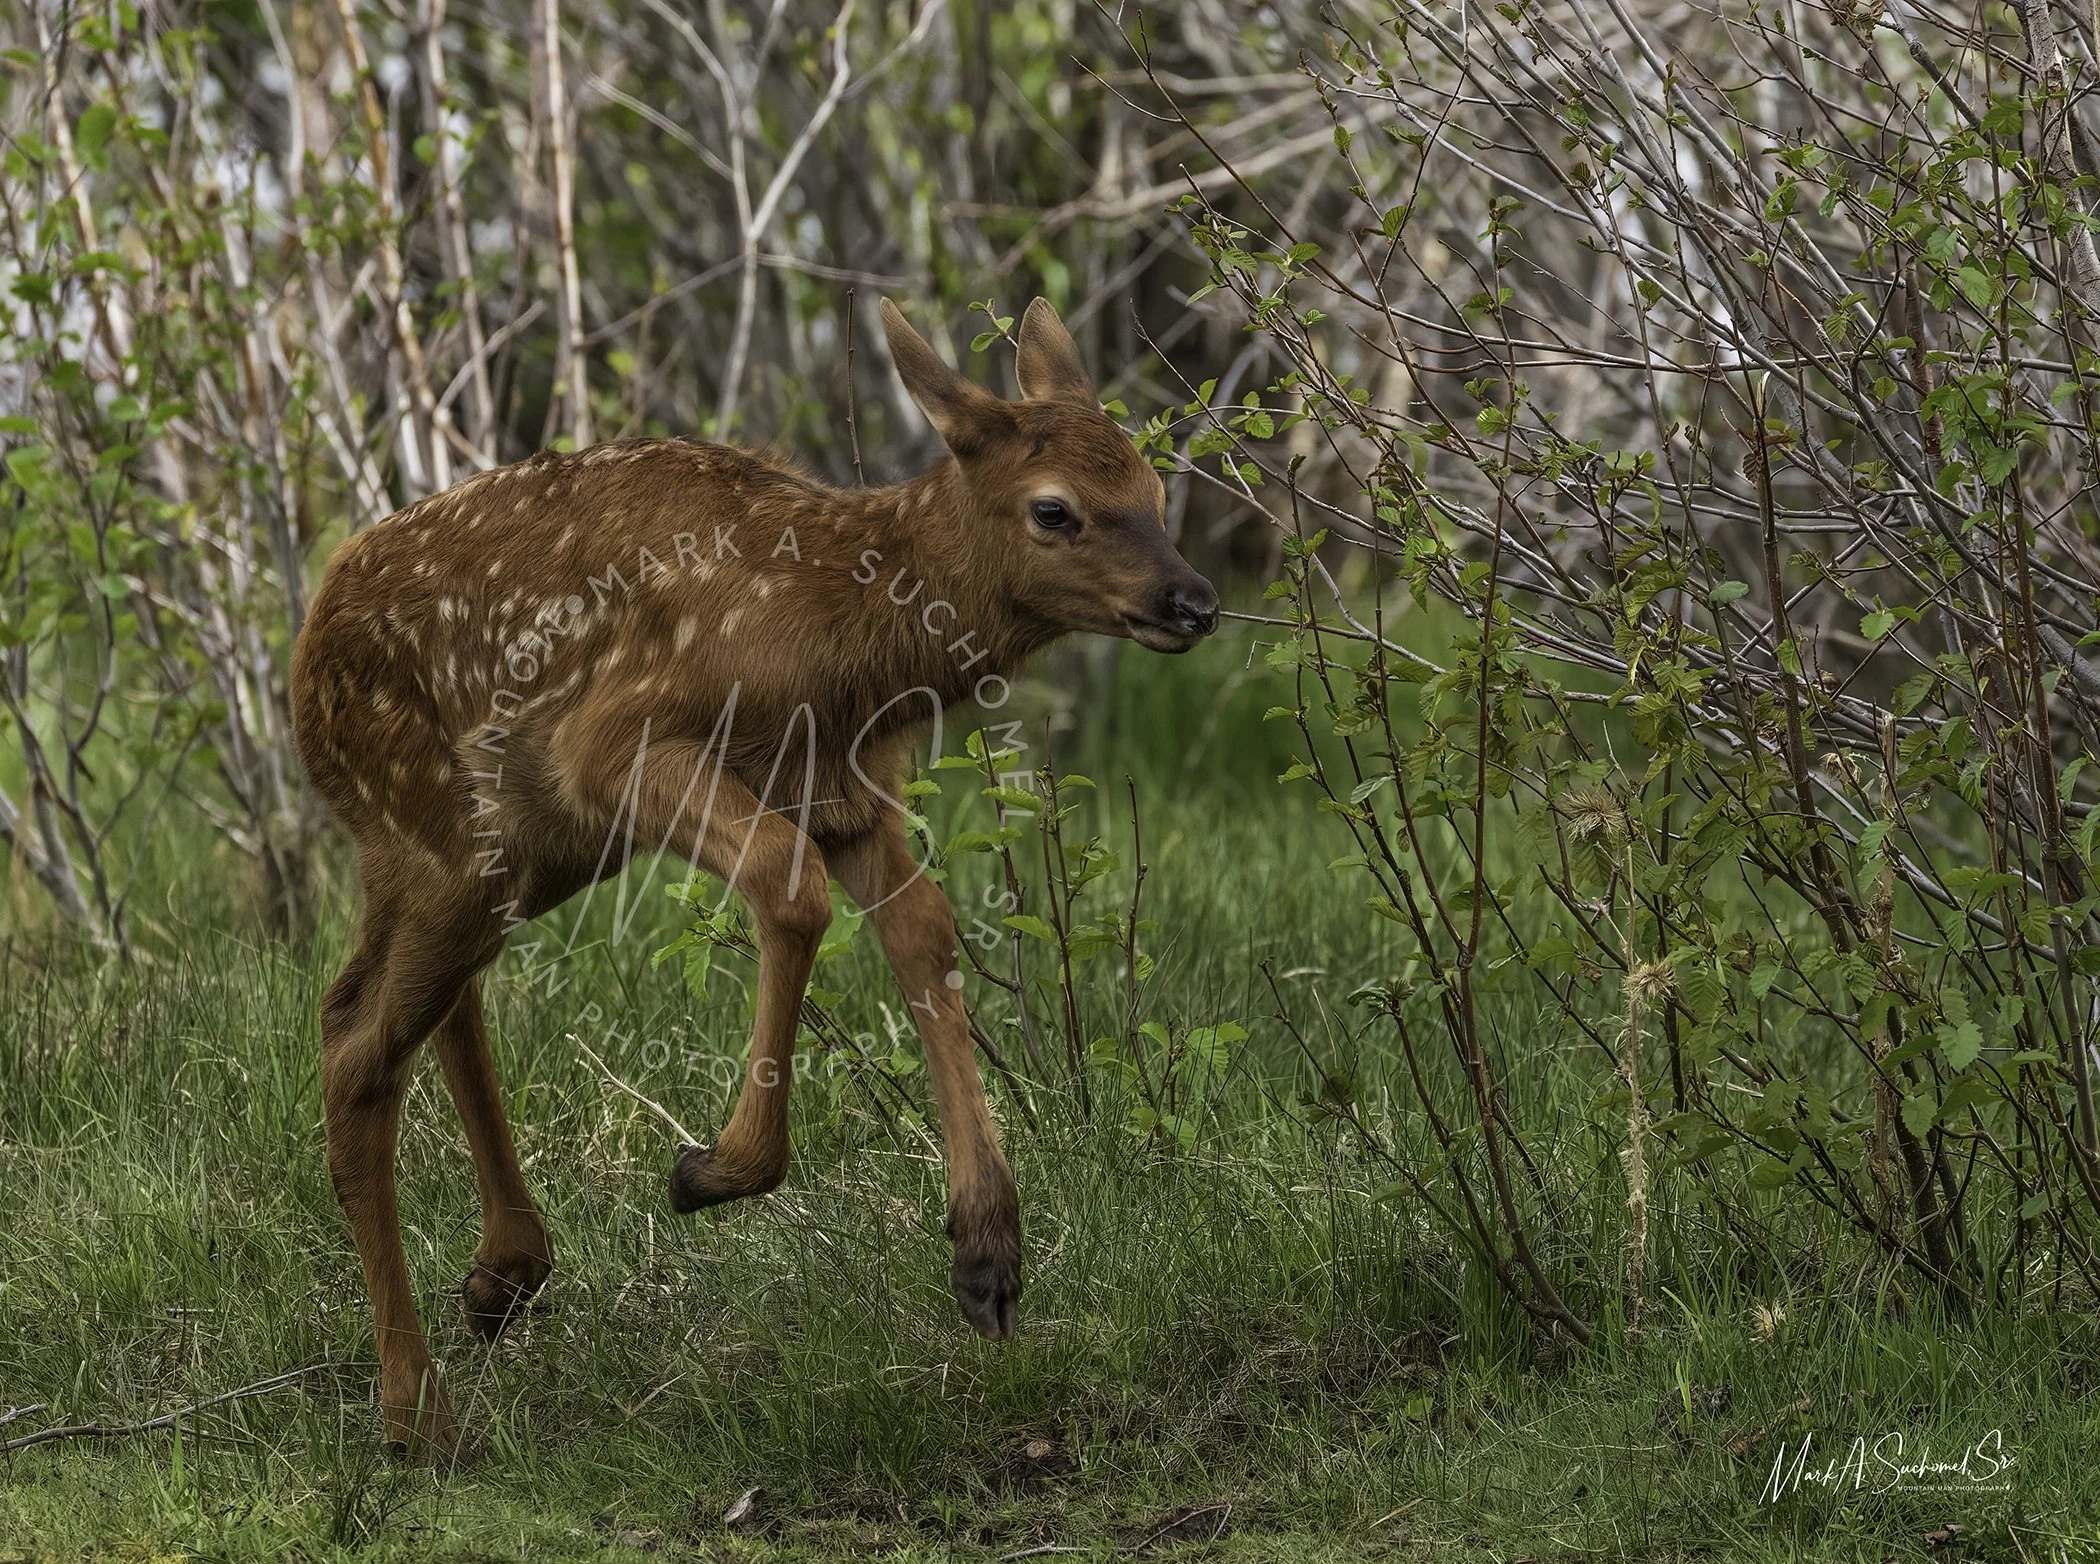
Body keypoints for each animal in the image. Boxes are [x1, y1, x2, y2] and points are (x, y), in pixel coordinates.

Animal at [289, 298, 1219, 1455]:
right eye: (1056, 510)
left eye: (1153, 489)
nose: (1194, 601)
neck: (837, 640)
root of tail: (303, 659)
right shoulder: (617, 744)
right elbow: (789, 885)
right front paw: (718, 1171)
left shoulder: (847, 787)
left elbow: (926, 928)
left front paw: (988, 1253)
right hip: (450, 831)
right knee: (354, 1039)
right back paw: (417, 1411)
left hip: (511, 854)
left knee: (412, 1002)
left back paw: (502, 1275)